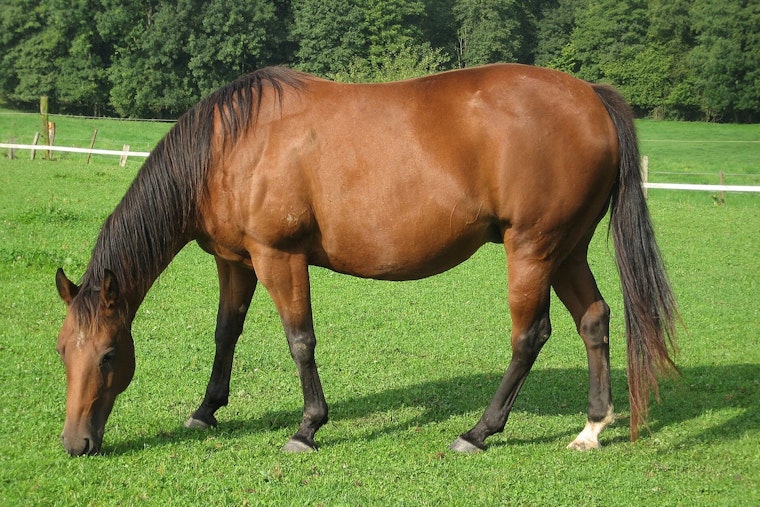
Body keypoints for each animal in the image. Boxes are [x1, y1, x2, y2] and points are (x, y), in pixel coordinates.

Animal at [55, 63, 679, 456]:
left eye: (109, 355)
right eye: (64, 351)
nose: (76, 444)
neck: (232, 146)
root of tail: (590, 96)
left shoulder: (278, 258)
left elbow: (299, 340)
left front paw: (307, 428)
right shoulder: (235, 261)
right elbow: (225, 332)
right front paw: (206, 410)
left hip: (532, 249)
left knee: (531, 336)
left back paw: (478, 432)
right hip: (566, 249)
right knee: (593, 320)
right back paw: (592, 427)